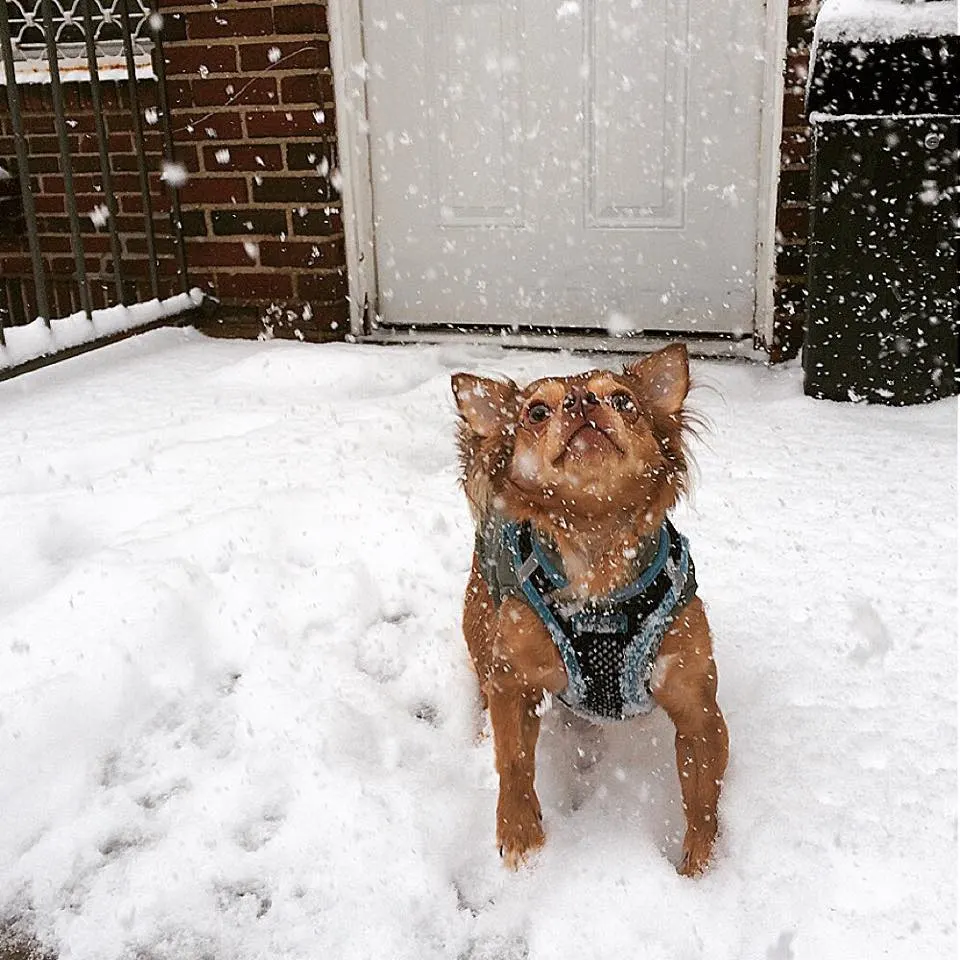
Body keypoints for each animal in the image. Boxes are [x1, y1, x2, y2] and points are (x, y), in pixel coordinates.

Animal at [450, 344, 728, 876]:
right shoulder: (513, 682)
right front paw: (519, 833)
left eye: (623, 401)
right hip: (480, 622)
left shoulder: (697, 708)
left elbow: (704, 796)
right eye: (536, 412)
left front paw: (700, 868)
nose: (581, 402)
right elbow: (513, 761)